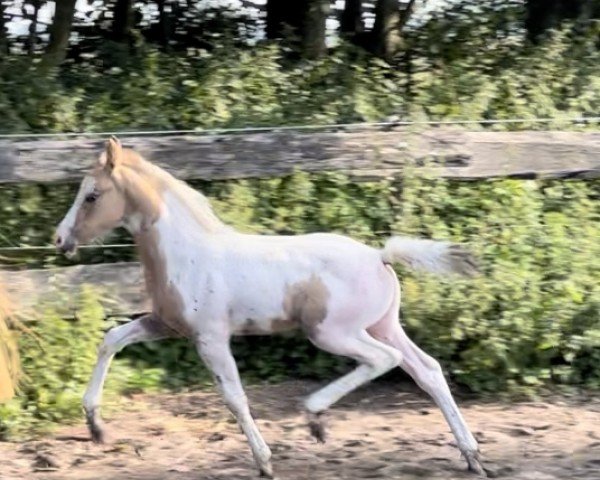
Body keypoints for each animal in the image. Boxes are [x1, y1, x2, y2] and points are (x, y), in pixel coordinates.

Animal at [55, 137, 482, 474]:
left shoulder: (210, 337)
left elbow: (234, 397)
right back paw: (472, 456)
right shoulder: (165, 324)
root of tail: (381, 256)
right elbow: (112, 338)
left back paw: (315, 416)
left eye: (92, 196)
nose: (60, 239)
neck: (186, 253)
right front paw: (95, 426)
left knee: (384, 360)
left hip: (333, 332)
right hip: (383, 325)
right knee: (427, 371)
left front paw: (264, 462)